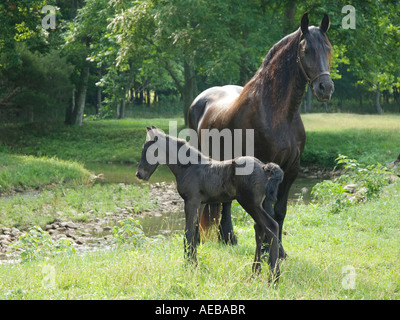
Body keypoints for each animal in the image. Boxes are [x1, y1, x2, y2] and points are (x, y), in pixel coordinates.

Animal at [138, 126, 284, 282]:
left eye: (147, 151)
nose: (139, 174)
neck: (189, 166)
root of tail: (263, 167)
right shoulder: (200, 203)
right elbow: (195, 234)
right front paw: (194, 265)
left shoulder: (191, 201)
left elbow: (188, 233)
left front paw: (187, 267)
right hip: (261, 204)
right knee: (260, 230)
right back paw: (255, 272)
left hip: (250, 203)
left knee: (271, 226)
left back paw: (273, 277)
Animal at [188, 12, 334, 258]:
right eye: (306, 50)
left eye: (328, 48)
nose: (326, 88)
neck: (278, 113)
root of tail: (201, 99)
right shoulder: (266, 167)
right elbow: (266, 212)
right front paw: (267, 250)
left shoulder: (291, 169)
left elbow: (280, 211)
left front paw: (280, 251)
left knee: (226, 201)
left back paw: (228, 238)